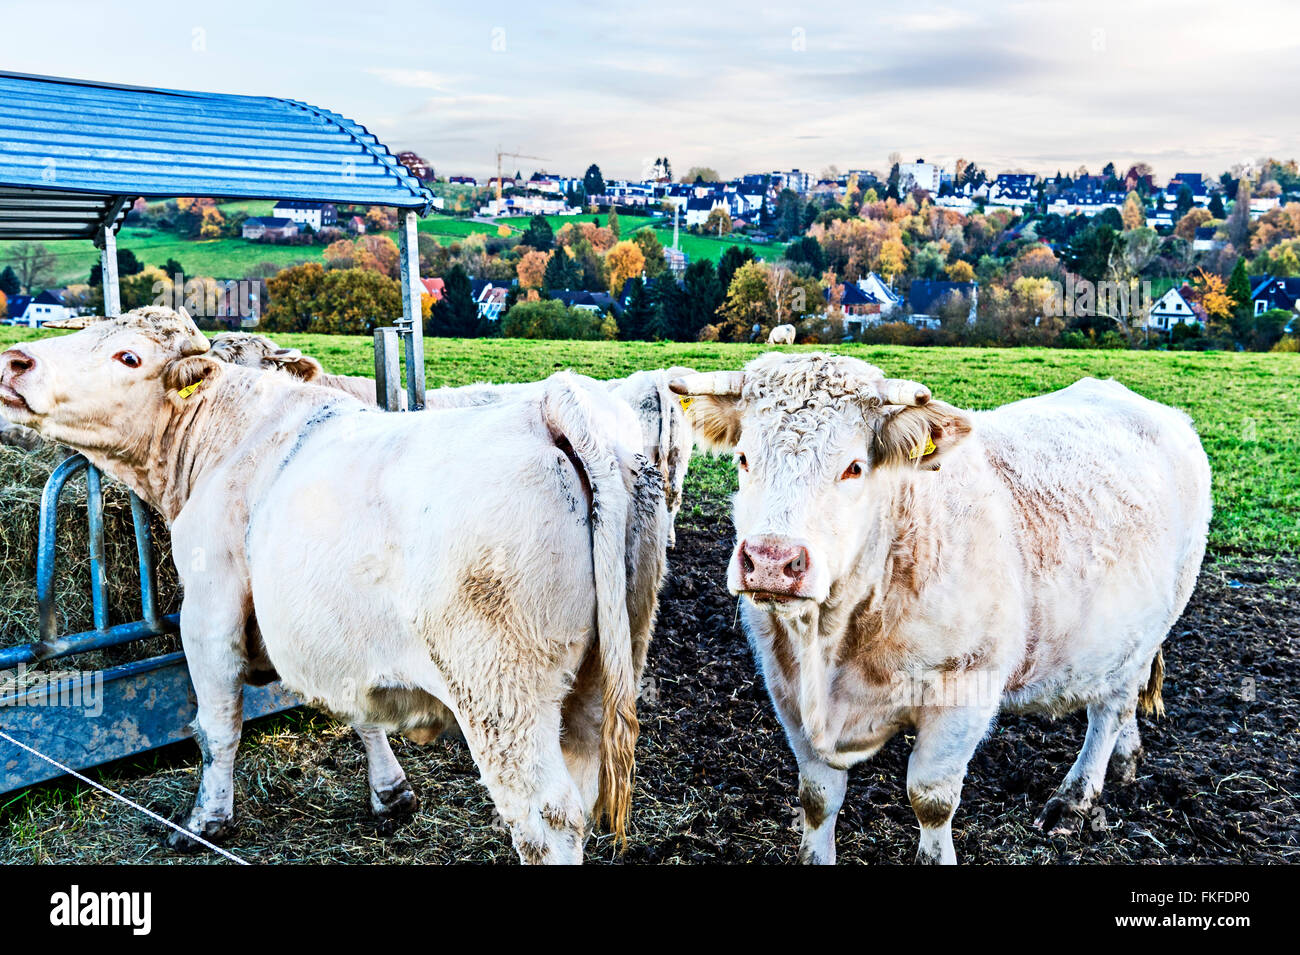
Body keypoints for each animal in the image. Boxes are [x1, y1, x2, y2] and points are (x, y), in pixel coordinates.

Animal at [2, 307, 670, 867]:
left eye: (129, 357)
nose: (16, 360)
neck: (226, 439)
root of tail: (551, 405)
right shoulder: (342, 637)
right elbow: (360, 712)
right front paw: (391, 794)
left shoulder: (209, 612)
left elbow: (216, 728)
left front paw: (205, 823)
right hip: (600, 676)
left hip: (503, 697)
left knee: (546, 819)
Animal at [670, 353, 1206, 867]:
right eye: (743, 458)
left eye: (853, 467)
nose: (771, 560)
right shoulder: (786, 685)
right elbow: (818, 797)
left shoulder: (966, 688)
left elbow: (931, 798)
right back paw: (1126, 761)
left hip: (1154, 625)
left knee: (1109, 710)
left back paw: (1073, 801)